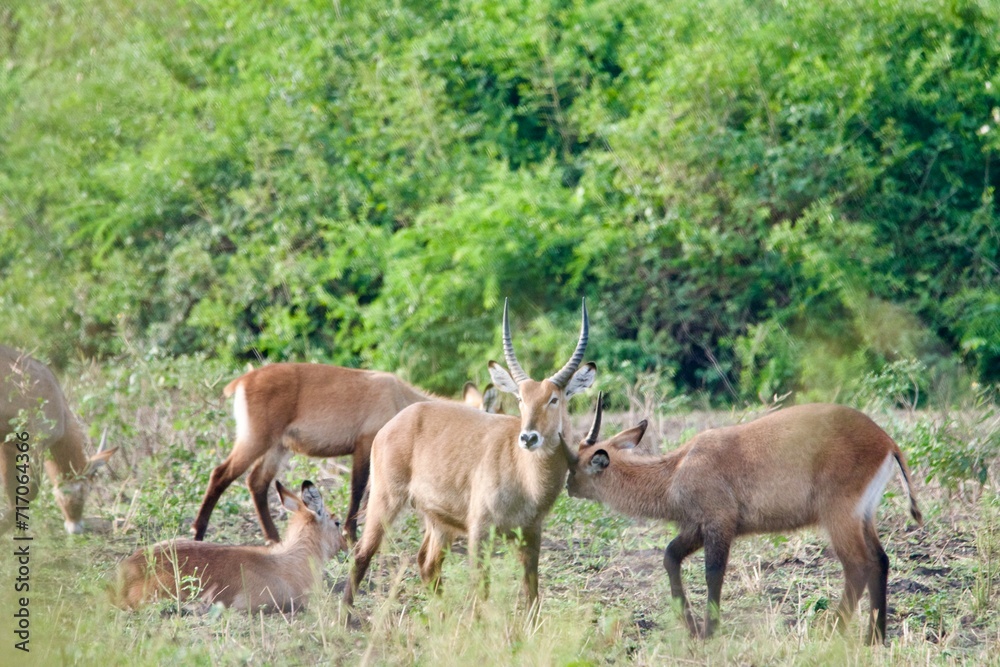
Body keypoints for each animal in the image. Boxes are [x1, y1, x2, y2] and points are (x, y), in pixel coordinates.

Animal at [0, 348, 118, 536]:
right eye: (86, 489)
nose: (76, 527)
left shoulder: (7, 446)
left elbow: (12, 491)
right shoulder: (36, 445)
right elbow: (31, 490)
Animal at [192, 362, 500, 544]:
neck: (401, 397)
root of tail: (244, 379)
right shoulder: (364, 445)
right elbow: (358, 488)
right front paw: (350, 534)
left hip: (278, 447)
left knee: (256, 482)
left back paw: (274, 539)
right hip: (256, 440)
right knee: (220, 474)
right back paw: (198, 532)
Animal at [344, 300, 592, 620]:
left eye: (554, 399)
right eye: (521, 399)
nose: (528, 438)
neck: (528, 478)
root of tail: (402, 418)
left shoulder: (531, 532)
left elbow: (532, 590)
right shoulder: (480, 530)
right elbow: (481, 588)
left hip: (440, 521)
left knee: (427, 563)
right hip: (385, 500)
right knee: (363, 553)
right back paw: (343, 618)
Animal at [572, 394, 920, 644]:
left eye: (576, 463)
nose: (567, 485)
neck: (675, 471)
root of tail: (887, 440)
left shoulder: (719, 523)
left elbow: (713, 574)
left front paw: (708, 632)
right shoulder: (696, 527)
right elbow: (670, 557)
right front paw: (691, 627)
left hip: (839, 516)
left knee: (858, 566)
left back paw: (833, 632)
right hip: (863, 516)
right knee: (880, 560)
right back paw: (875, 638)